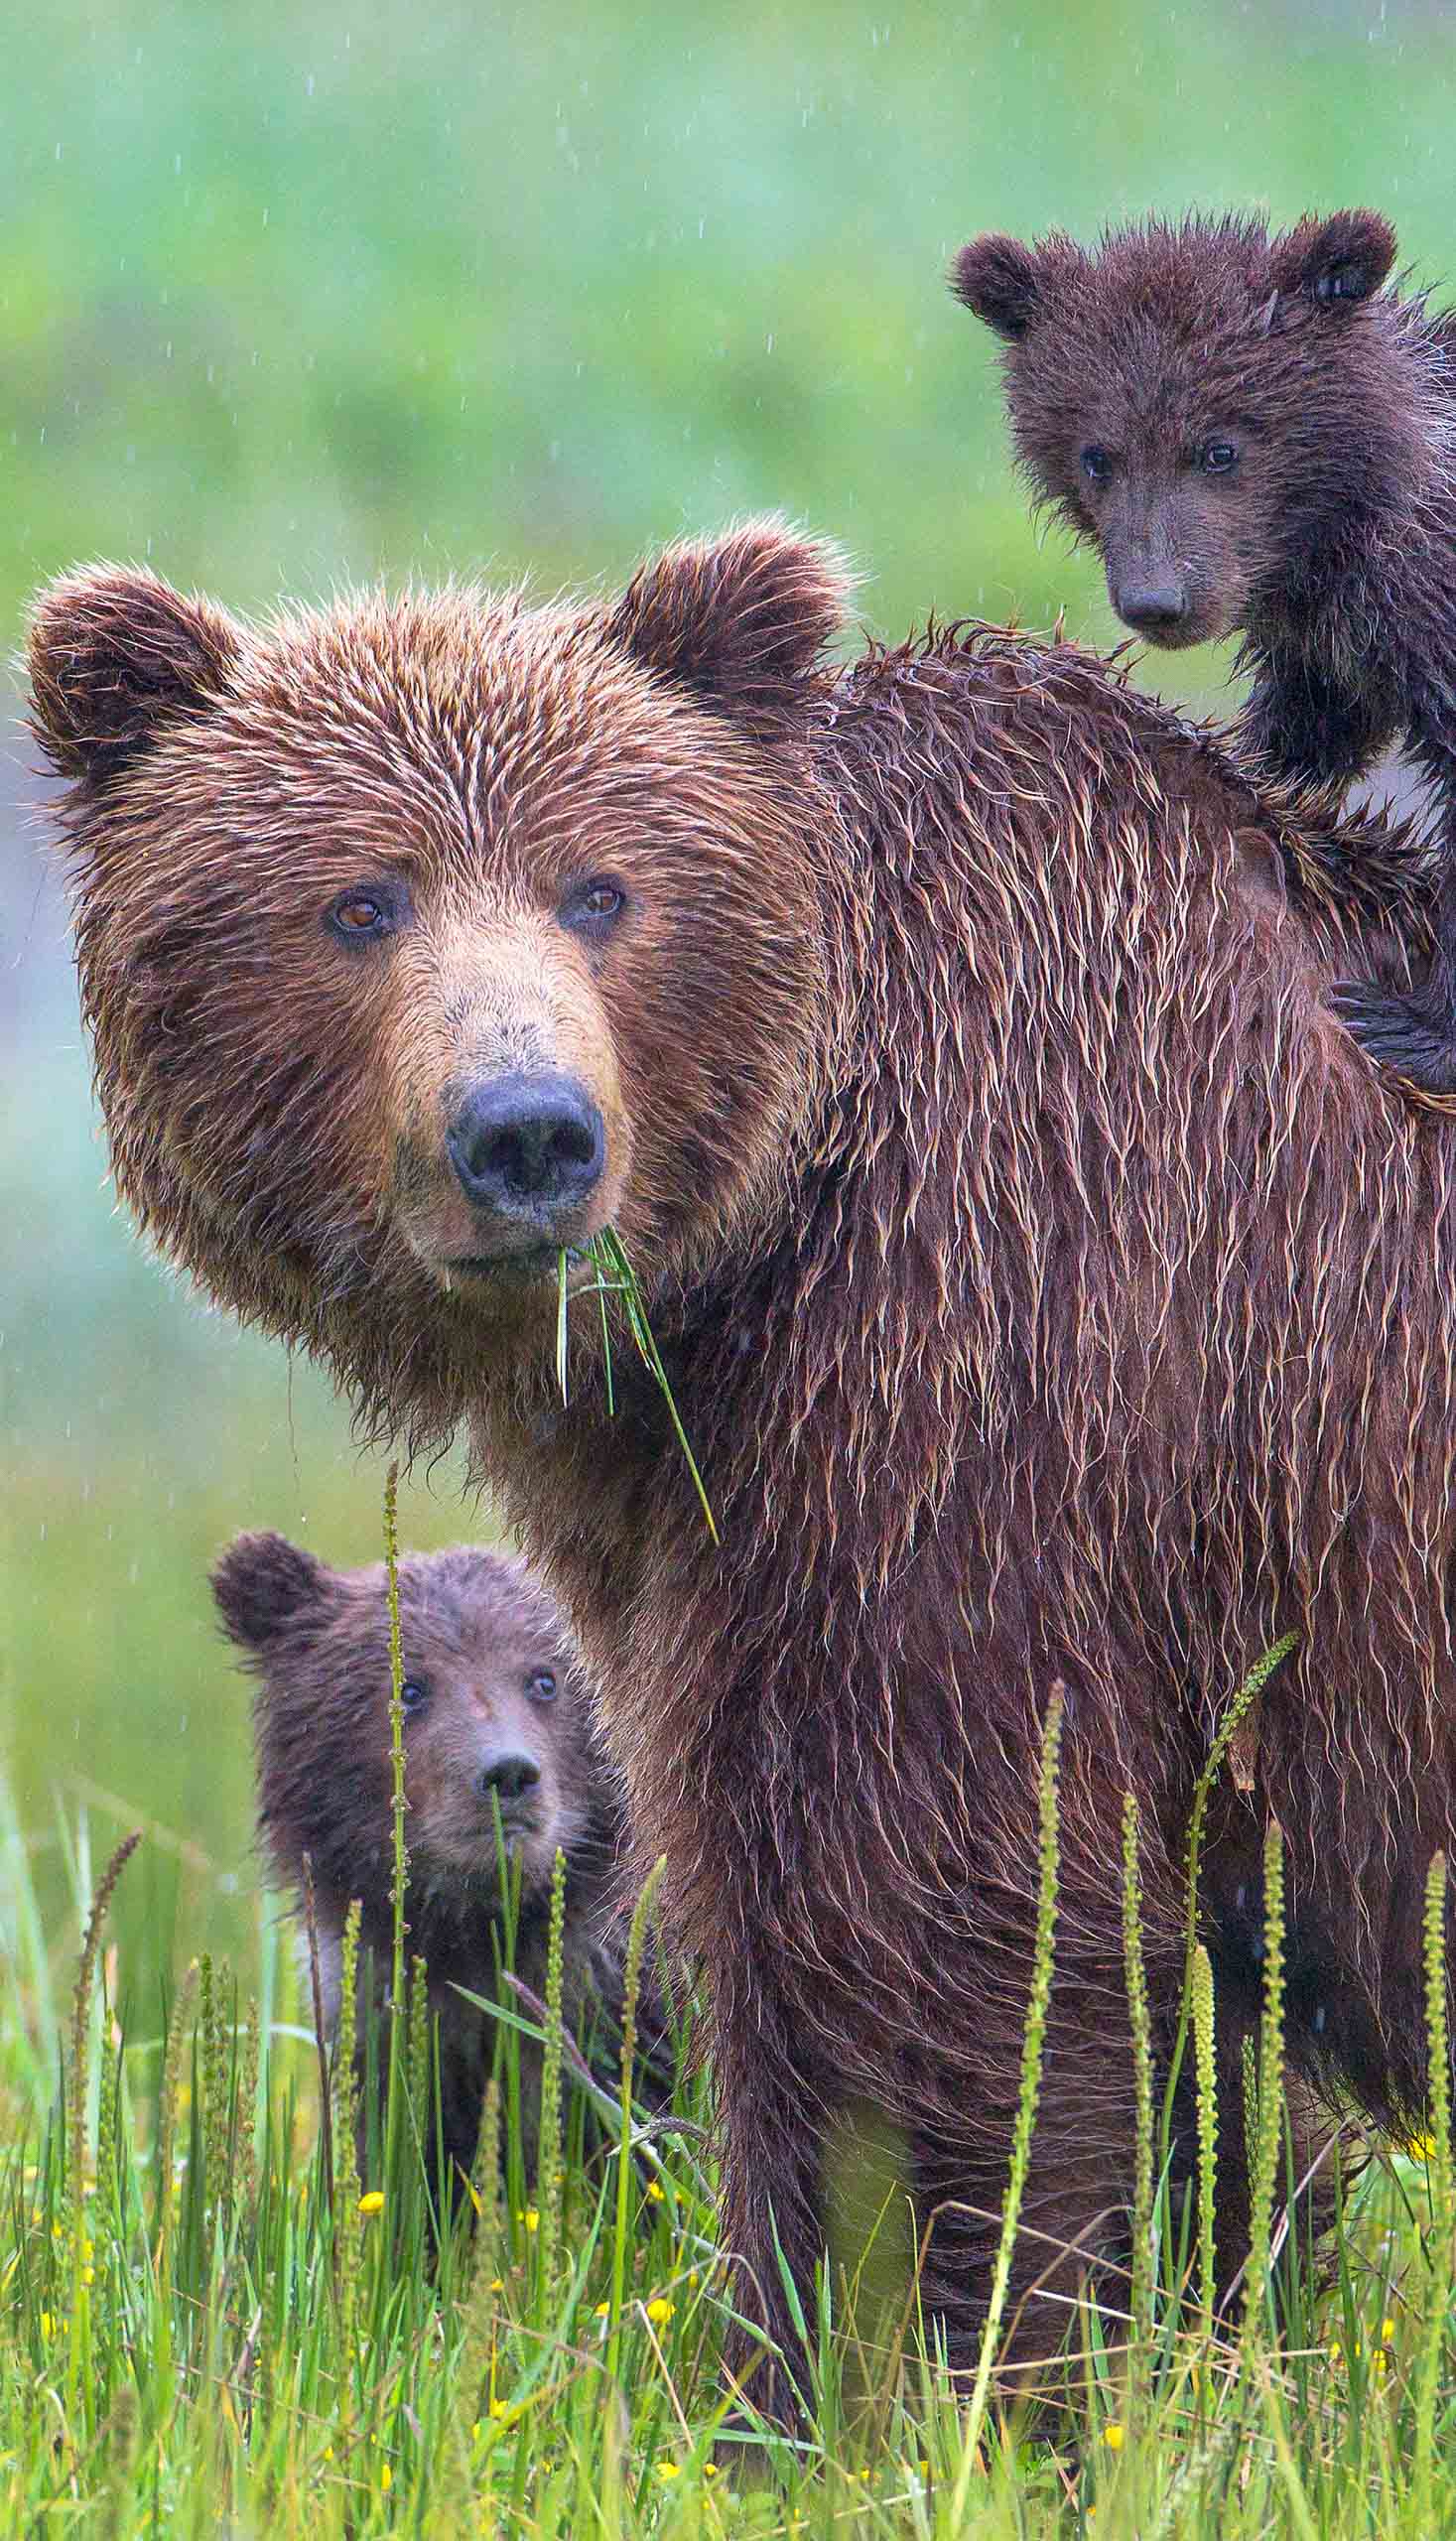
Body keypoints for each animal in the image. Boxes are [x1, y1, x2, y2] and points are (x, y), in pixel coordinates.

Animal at [28, 525, 1453, 2408]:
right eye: (358, 900)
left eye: (601, 890)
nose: (526, 1136)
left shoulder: (982, 1389)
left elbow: (931, 1947)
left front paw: (899, 2382)